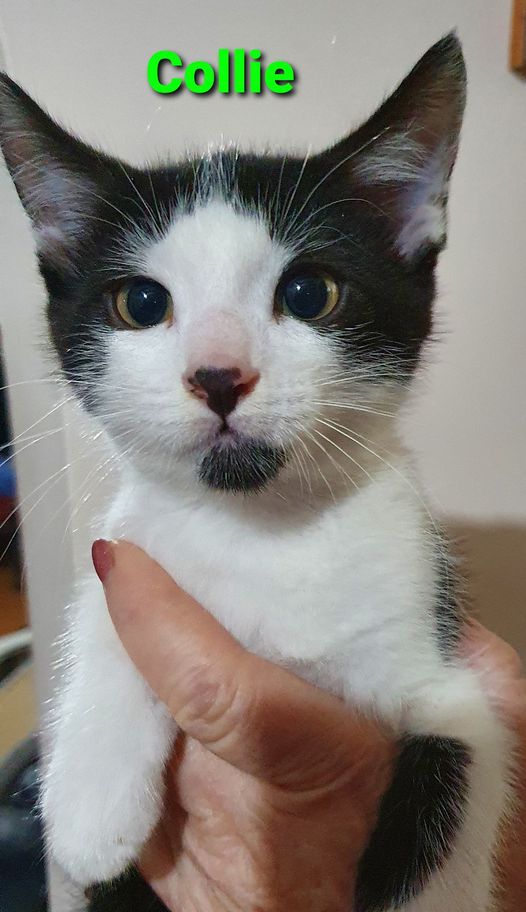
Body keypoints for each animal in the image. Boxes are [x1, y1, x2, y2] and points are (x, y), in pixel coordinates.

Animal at [0, 34, 511, 912]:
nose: (218, 375)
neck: (261, 527)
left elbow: (458, 754)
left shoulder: (448, 674)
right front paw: (88, 797)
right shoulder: (140, 538)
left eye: (309, 292)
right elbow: (113, 586)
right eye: (140, 303)